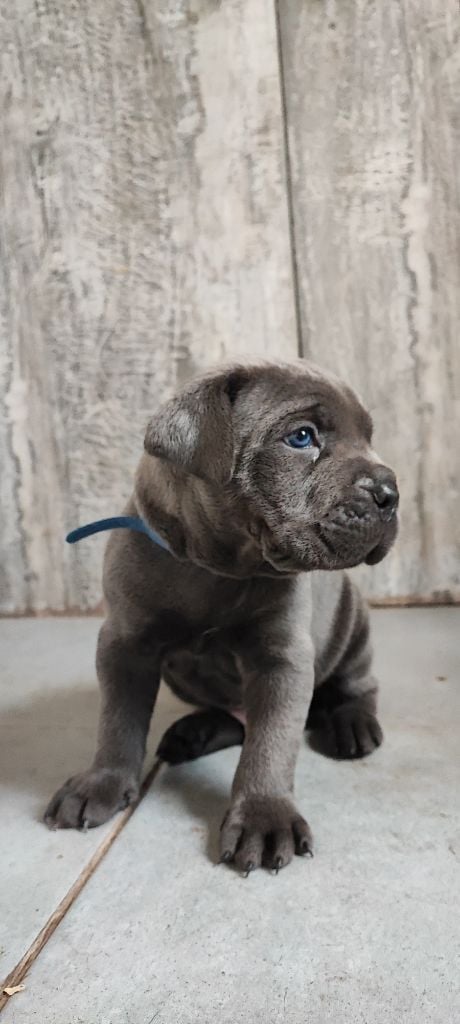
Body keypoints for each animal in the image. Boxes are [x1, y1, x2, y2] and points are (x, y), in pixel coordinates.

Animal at [45, 360, 397, 872]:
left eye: (370, 438)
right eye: (301, 437)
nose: (389, 492)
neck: (219, 566)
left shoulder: (281, 659)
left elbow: (270, 745)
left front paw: (263, 817)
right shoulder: (124, 645)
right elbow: (117, 720)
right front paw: (102, 782)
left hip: (353, 624)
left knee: (356, 685)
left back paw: (350, 723)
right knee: (235, 718)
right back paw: (196, 730)